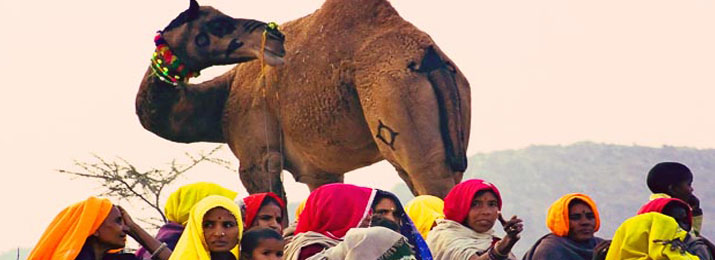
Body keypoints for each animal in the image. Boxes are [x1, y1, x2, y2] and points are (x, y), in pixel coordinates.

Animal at [137, 0, 472, 200]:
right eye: (217, 24)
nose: (273, 38)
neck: (223, 99)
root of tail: (429, 56)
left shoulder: (256, 157)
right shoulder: (320, 171)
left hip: (394, 105)